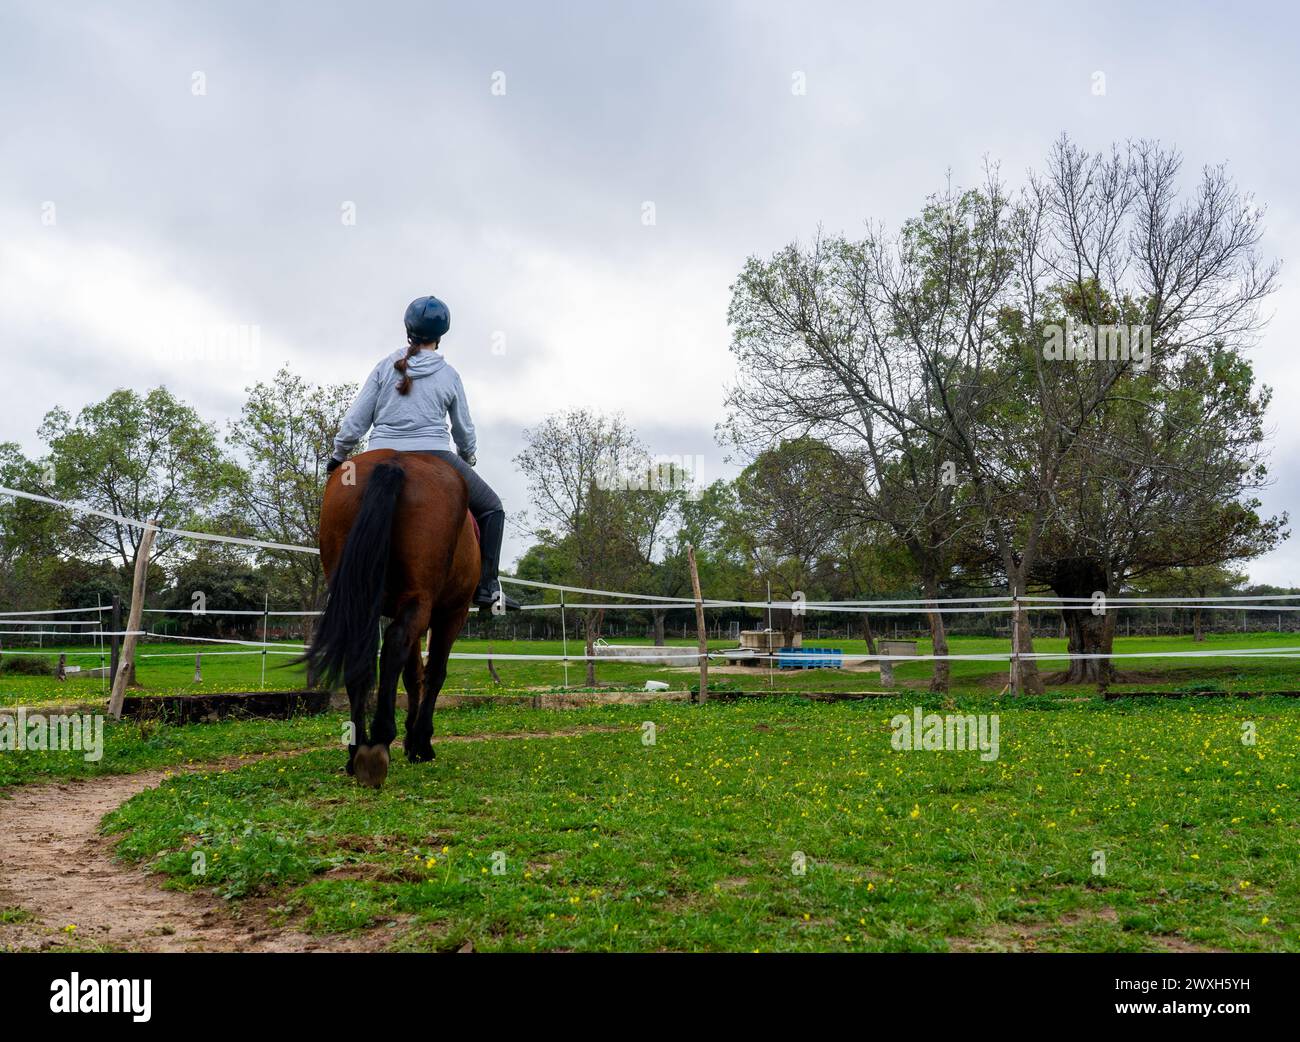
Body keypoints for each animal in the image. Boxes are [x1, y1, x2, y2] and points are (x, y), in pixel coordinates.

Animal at [306, 449, 479, 787]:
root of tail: (394, 460)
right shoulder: (452, 612)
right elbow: (433, 673)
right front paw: (421, 742)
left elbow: (412, 675)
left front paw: (412, 741)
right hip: (422, 601)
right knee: (396, 646)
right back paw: (380, 741)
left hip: (363, 598)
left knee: (362, 655)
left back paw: (357, 749)